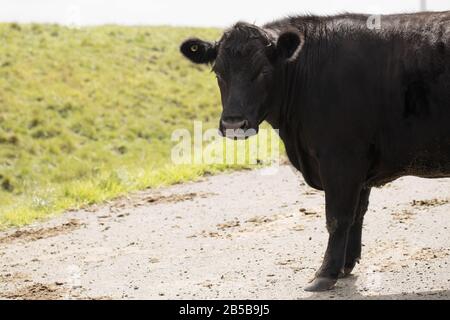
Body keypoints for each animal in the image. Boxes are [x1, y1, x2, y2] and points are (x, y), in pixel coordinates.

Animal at [180, 12, 450, 292]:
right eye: (218, 72)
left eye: (263, 71)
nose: (233, 123)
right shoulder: (359, 165)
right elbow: (356, 214)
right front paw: (345, 265)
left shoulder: (342, 157)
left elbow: (338, 217)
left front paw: (325, 274)